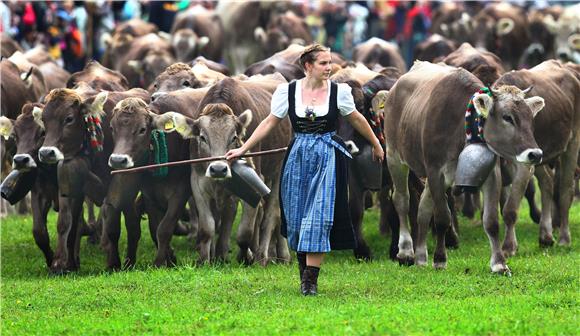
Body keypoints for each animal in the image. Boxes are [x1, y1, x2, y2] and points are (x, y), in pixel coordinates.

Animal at [386, 62, 544, 272]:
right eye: (507, 117)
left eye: (530, 118)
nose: (535, 154)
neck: (459, 125)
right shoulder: (435, 171)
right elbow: (442, 217)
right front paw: (440, 259)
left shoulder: (491, 174)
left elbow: (491, 221)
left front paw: (499, 263)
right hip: (394, 157)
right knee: (402, 200)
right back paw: (405, 252)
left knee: (423, 208)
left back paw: (420, 257)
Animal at [494, 60, 580, 255]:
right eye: (507, 117)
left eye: (530, 116)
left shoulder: (524, 164)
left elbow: (510, 208)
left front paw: (508, 247)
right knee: (547, 183)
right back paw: (545, 236)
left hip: (571, 144)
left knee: (565, 191)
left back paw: (564, 238)